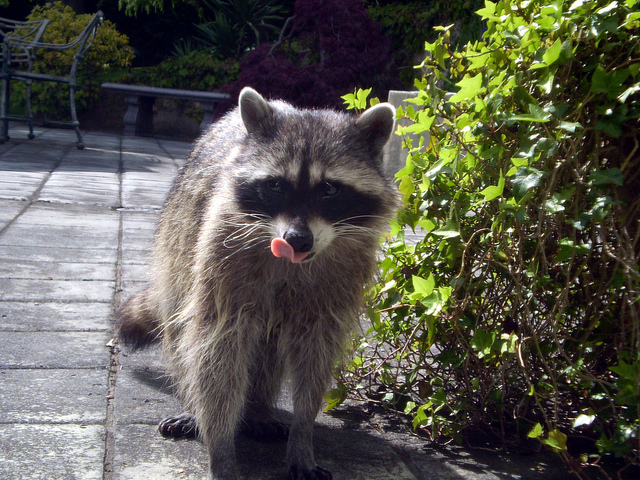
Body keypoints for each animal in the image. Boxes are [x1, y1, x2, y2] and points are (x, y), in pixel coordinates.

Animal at [112, 87, 398, 480]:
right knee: (184, 330)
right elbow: (218, 345)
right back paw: (196, 408)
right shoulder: (223, 254)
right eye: (275, 185)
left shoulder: (339, 278)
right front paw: (220, 449)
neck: (294, 261)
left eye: (330, 190)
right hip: (177, 247)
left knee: (269, 347)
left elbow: (315, 354)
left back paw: (260, 409)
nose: (297, 239)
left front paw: (303, 436)